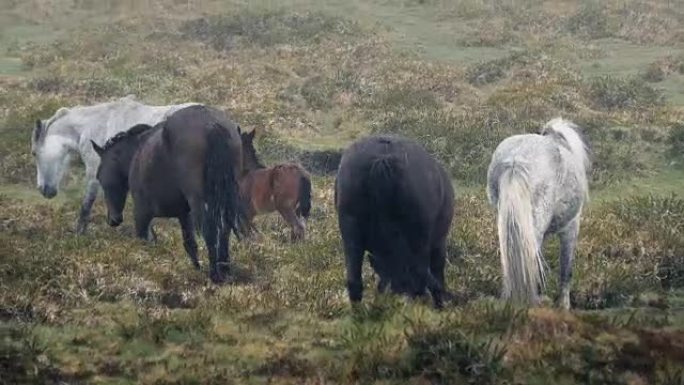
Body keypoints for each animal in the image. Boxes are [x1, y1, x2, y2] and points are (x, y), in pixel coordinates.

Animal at [31, 95, 199, 234]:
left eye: (34, 153)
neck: (93, 127)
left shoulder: (94, 173)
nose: (44, 190)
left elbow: (86, 205)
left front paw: (79, 234)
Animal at [92, 105, 244, 282]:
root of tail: (212, 125)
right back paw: (224, 270)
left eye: (99, 175)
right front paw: (197, 269)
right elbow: (190, 243)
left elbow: (144, 240)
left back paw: (215, 274)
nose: (113, 220)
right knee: (224, 228)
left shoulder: (142, 214)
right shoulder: (184, 214)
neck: (136, 154)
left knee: (211, 230)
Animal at [336, 135, 454, 308]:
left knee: (353, 279)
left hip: (350, 230)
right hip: (422, 239)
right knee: (422, 271)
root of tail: (382, 159)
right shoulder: (437, 243)